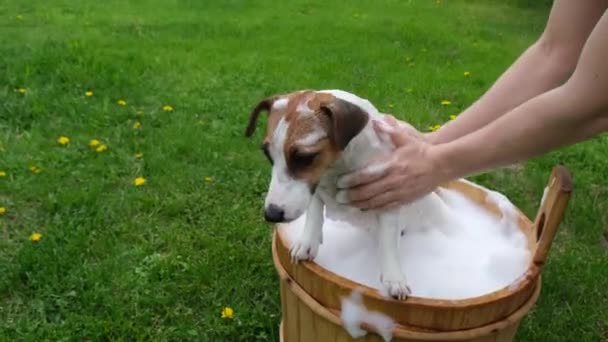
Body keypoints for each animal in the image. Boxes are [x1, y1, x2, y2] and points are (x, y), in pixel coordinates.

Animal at [243, 89, 456, 300]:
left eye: (304, 158)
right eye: (267, 154)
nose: (271, 214)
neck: (336, 166)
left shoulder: (388, 192)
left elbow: (388, 242)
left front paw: (394, 277)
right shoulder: (315, 187)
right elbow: (314, 213)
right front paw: (307, 242)